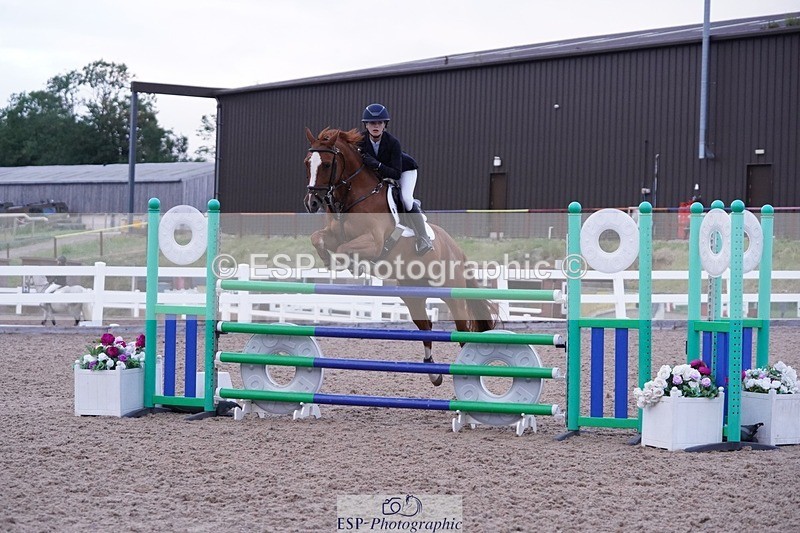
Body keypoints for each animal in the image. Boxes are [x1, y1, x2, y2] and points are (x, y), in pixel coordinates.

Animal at [303, 127, 497, 386]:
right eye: (307, 163)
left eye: (325, 164)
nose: (312, 203)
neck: (354, 197)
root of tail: (456, 248)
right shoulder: (335, 234)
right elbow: (318, 238)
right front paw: (327, 258)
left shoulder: (374, 242)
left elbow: (346, 249)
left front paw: (351, 265)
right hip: (412, 295)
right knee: (426, 326)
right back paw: (433, 372)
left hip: (452, 293)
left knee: (462, 330)